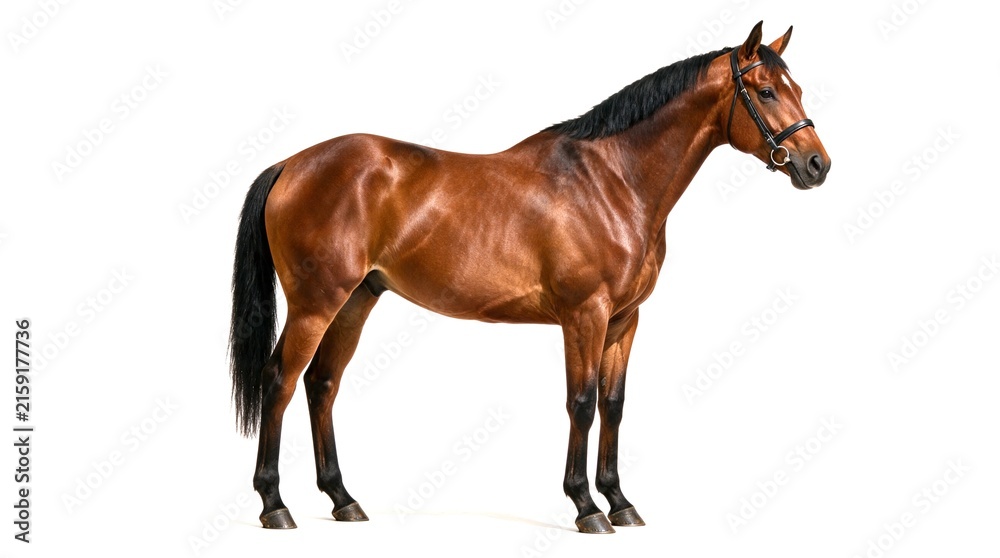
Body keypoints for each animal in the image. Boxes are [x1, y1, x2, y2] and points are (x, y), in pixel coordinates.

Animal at [228, 21, 831, 534]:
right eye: (766, 91)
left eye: (796, 86)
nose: (817, 165)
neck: (612, 182)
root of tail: (292, 163)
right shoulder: (584, 314)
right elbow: (581, 403)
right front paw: (586, 507)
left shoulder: (624, 320)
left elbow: (614, 405)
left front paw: (621, 502)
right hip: (315, 303)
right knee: (279, 380)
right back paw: (275, 505)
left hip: (356, 299)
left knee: (322, 384)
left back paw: (343, 500)